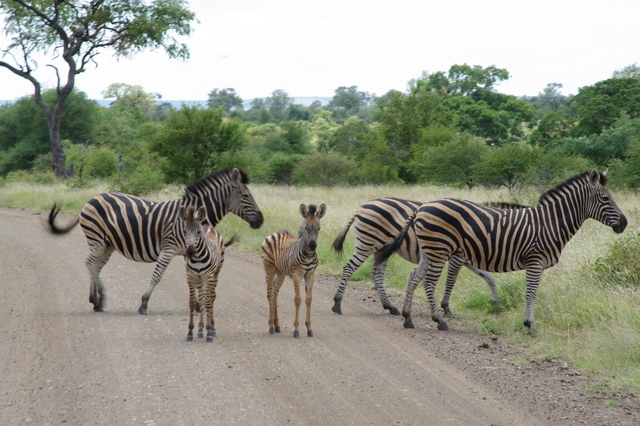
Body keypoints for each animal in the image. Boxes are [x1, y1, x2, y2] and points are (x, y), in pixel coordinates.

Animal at [47, 166, 262, 312]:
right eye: (245, 195)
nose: (261, 220)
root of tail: (92, 198)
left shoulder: (190, 251)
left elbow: (195, 278)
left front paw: (198, 305)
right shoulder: (169, 248)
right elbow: (158, 275)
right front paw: (144, 303)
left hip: (108, 243)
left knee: (96, 267)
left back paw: (95, 301)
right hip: (97, 238)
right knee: (90, 264)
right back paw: (99, 300)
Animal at [180, 205, 228, 342]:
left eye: (198, 232)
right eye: (185, 232)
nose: (190, 252)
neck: (197, 258)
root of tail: (207, 225)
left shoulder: (209, 276)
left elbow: (207, 302)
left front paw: (209, 332)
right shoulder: (190, 277)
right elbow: (193, 302)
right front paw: (191, 332)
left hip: (215, 274)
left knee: (210, 298)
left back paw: (211, 329)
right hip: (200, 279)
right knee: (202, 299)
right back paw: (200, 330)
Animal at [262, 204, 328, 340]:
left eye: (318, 228)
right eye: (306, 228)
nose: (313, 245)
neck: (308, 255)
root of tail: (275, 233)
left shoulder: (311, 275)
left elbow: (309, 299)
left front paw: (309, 329)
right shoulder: (296, 275)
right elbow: (298, 300)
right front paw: (296, 330)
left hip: (281, 272)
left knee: (275, 292)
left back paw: (277, 326)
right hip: (269, 268)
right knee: (270, 293)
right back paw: (271, 327)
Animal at [332, 196, 508, 316]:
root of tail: (361, 207)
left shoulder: (468, 259)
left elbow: (489, 277)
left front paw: (496, 304)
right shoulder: (458, 257)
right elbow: (451, 281)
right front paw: (446, 308)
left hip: (381, 248)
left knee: (376, 274)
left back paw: (390, 306)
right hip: (367, 243)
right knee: (348, 268)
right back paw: (337, 303)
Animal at [372, 170, 628, 336]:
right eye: (606, 198)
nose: (624, 224)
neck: (550, 224)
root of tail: (422, 207)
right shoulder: (535, 260)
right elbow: (531, 294)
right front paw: (530, 326)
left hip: (430, 250)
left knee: (414, 277)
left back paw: (407, 318)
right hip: (440, 249)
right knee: (429, 282)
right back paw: (439, 320)